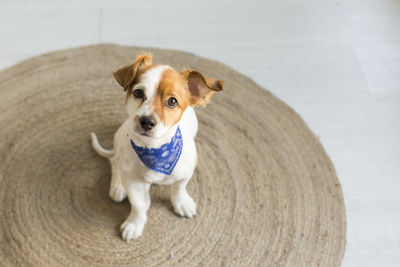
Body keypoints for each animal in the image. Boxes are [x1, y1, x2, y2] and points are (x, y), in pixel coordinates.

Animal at [89, 52, 223, 241]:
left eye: (172, 101)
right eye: (138, 92)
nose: (146, 121)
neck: (154, 150)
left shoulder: (186, 173)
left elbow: (179, 189)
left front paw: (181, 203)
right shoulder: (133, 182)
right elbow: (138, 205)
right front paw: (135, 224)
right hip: (119, 142)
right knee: (114, 162)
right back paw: (118, 187)